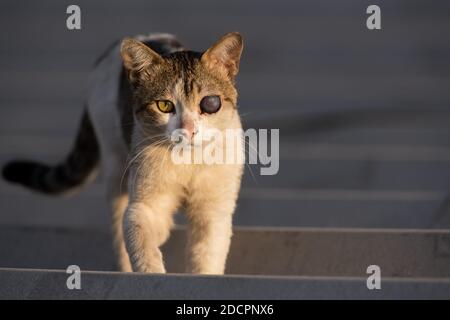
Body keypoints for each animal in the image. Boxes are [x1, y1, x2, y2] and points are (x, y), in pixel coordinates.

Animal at [1, 31, 244, 274]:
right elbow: (142, 244)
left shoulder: (213, 212)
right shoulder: (143, 206)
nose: (188, 129)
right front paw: (152, 273)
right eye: (164, 106)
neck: (187, 161)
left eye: (210, 103)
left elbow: (206, 258)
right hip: (116, 167)